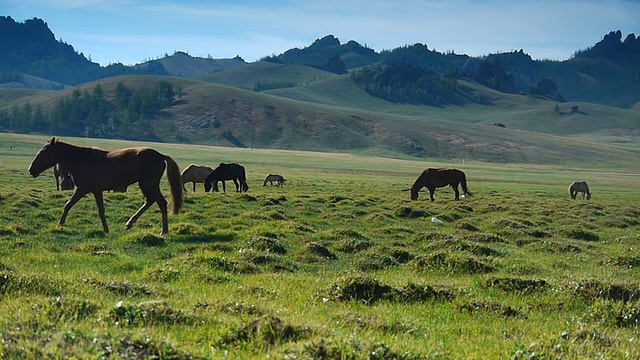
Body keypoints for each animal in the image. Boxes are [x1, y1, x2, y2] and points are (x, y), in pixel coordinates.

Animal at [27, 136, 182, 235]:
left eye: (43, 152)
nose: (31, 170)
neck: (80, 160)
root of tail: (160, 155)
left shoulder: (83, 189)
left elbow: (69, 204)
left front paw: (60, 224)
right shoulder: (96, 191)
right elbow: (100, 210)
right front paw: (106, 229)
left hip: (149, 183)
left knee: (161, 202)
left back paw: (163, 231)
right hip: (145, 184)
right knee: (150, 201)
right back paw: (130, 223)